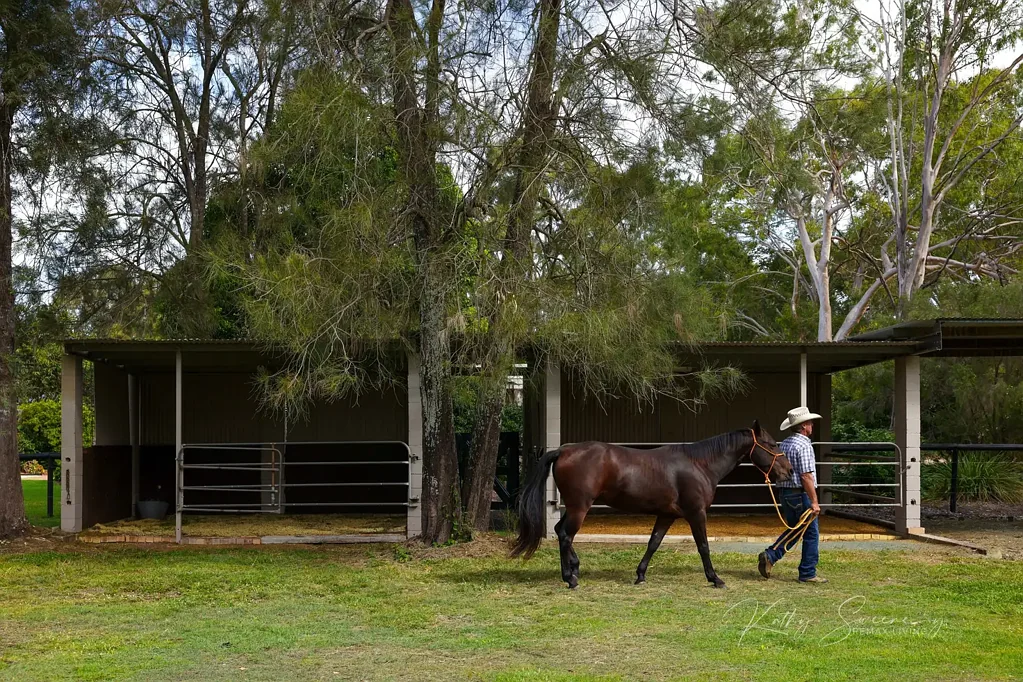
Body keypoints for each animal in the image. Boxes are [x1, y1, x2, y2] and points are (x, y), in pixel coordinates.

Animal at [510, 421, 793, 589]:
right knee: (566, 536)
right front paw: (715, 579)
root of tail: (563, 451)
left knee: (560, 532)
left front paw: (640, 575)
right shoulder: (696, 513)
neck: (699, 464)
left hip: (573, 507)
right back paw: (571, 578)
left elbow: (653, 543)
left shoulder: (667, 515)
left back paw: (572, 571)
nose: (789, 471)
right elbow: (703, 547)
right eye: (771, 444)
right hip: (580, 507)